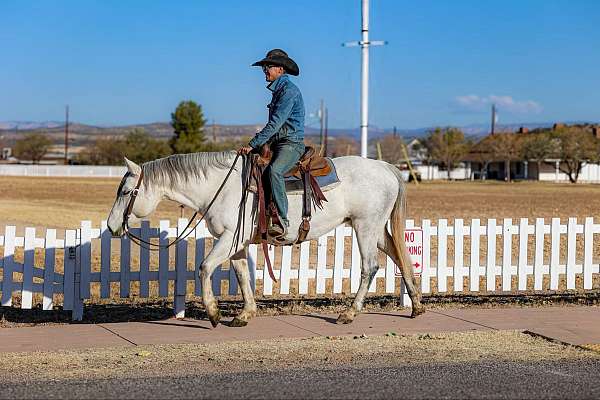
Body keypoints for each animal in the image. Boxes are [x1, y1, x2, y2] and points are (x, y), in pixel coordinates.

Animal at [109, 152, 426, 326]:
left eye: (125, 191)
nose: (112, 227)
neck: (221, 187)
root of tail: (385, 167)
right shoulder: (236, 243)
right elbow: (242, 276)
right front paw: (244, 314)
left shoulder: (228, 240)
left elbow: (205, 267)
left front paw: (213, 314)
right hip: (376, 229)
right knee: (400, 257)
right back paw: (417, 306)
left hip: (365, 226)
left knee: (370, 267)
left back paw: (349, 314)